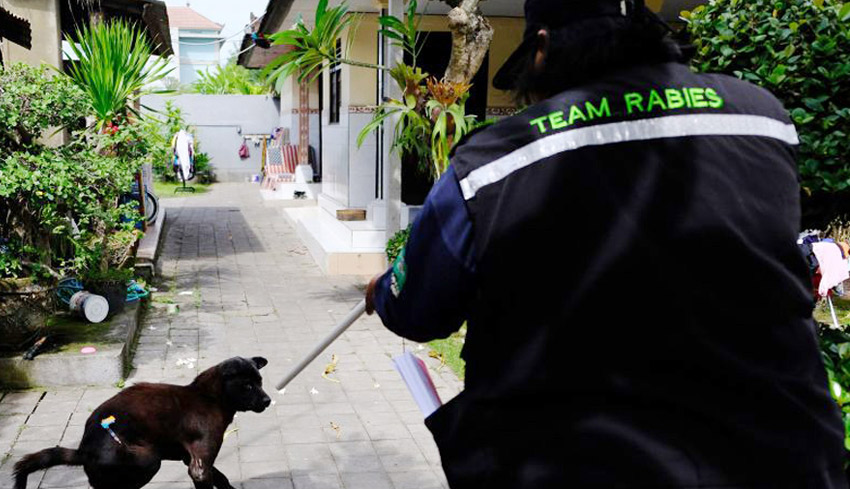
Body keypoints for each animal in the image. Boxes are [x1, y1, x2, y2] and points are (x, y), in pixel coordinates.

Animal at [14, 354, 272, 488]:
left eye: (260, 381)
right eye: (248, 386)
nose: (268, 400)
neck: (210, 397)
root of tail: (83, 450)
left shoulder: (191, 458)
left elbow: (222, 478)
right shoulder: (199, 465)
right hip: (148, 459)